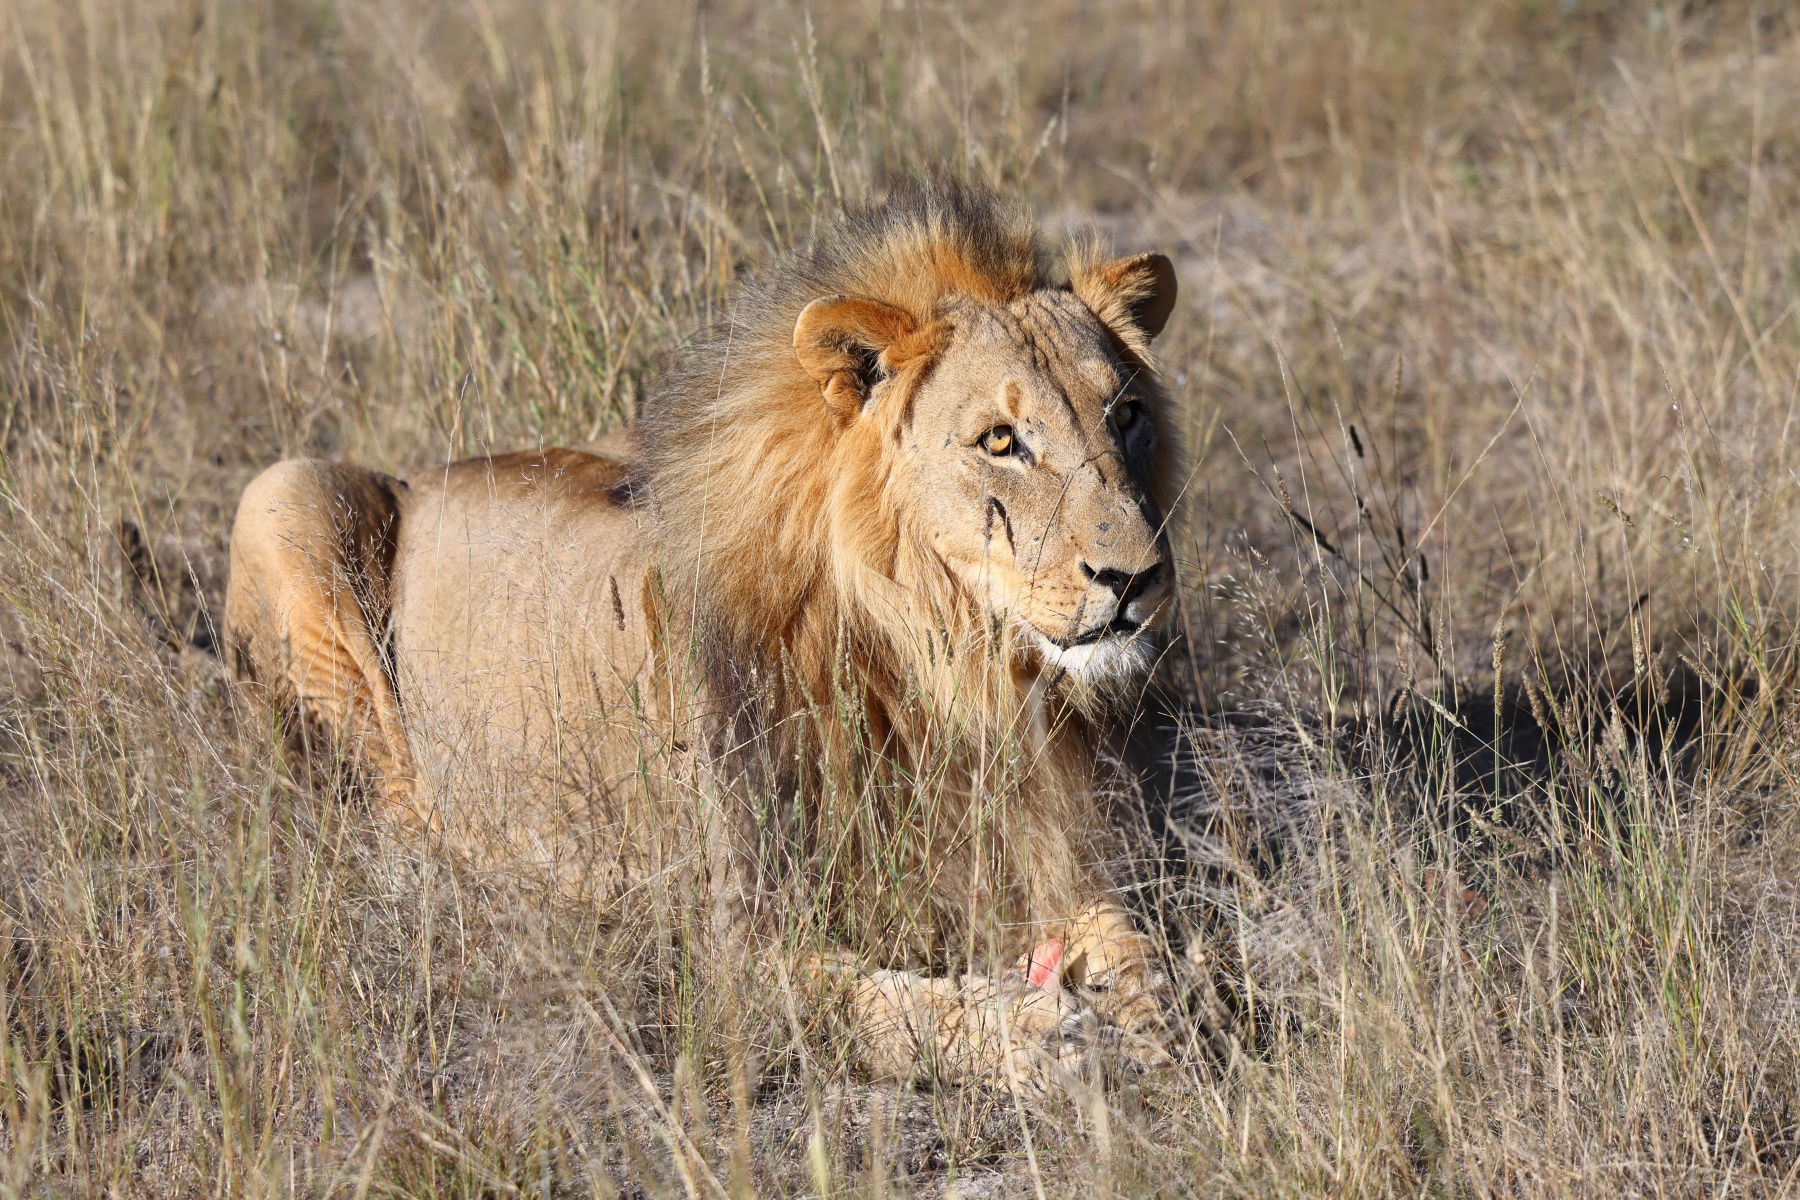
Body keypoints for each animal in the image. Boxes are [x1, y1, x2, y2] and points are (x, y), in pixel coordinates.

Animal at [224, 176, 1185, 1084]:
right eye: (1000, 441)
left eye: (1126, 416)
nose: (1136, 578)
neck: (946, 667)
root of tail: (426, 471)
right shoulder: (740, 941)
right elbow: (897, 1007)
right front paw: (1050, 1037)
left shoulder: (1068, 850)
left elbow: (1145, 952)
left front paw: (1162, 1025)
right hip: (286, 495)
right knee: (384, 815)